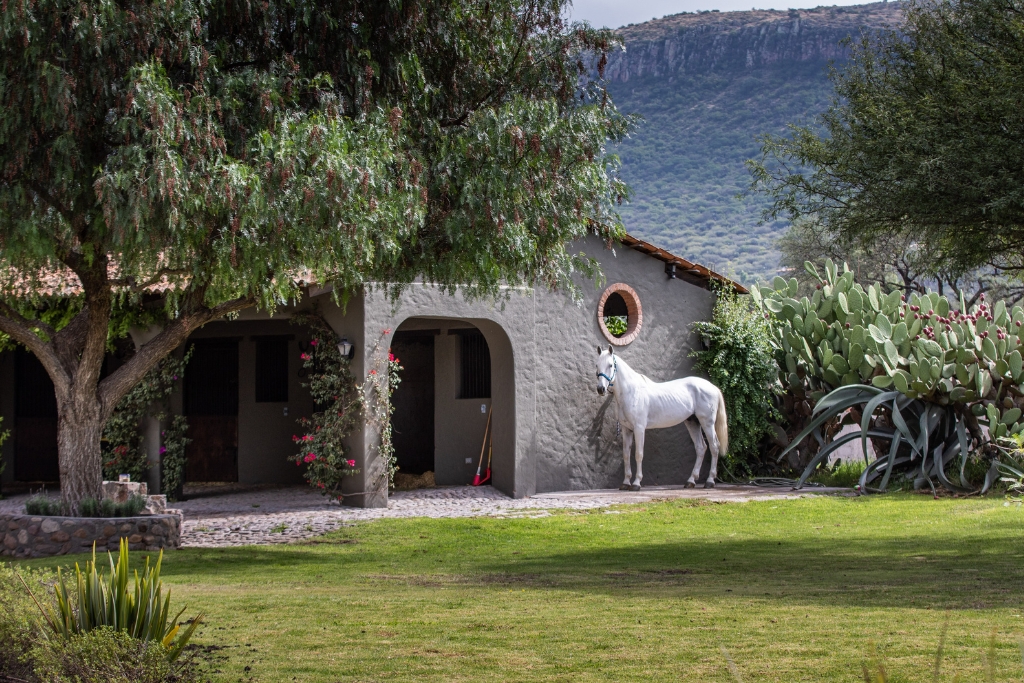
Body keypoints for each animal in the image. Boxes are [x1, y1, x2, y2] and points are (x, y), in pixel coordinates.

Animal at [595, 345, 729, 491]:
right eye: (597, 365)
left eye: (610, 365)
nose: (601, 389)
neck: (631, 392)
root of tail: (713, 387)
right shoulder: (626, 429)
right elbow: (626, 455)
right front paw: (625, 483)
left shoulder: (639, 428)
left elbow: (638, 454)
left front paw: (636, 483)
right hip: (692, 422)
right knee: (701, 448)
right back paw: (691, 481)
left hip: (707, 423)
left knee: (714, 446)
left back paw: (709, 481)